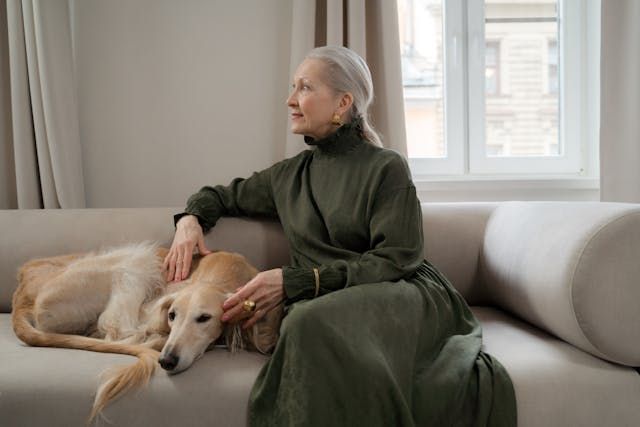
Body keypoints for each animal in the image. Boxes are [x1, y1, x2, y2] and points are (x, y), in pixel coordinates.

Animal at [11, 242, 282, 422]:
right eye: (172, 315)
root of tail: (21, 297)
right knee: (117, 331)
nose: (167, 361)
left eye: (204, 318)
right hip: (134, 260)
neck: (226, 273)